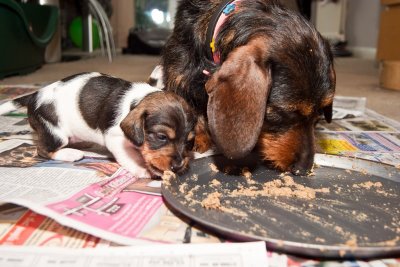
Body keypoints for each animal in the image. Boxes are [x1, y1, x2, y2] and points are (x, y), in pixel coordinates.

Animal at [0, 72, 197, 179]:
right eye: (162, 137)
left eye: (188, 142)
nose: (179, 165)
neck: (138, 100)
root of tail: (34, 96)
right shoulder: (115, 140)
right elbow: (129, 156)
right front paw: (141, 169)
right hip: (55, 134)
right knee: (42, 149)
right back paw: (70, 153)